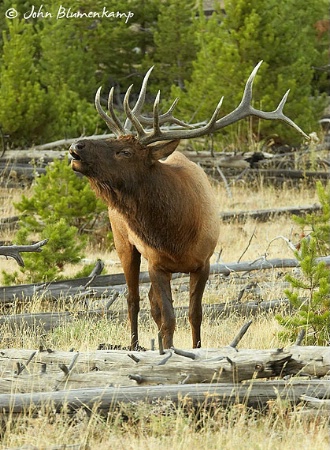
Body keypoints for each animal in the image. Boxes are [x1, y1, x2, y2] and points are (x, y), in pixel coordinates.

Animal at [69, 60, 306, 348]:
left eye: (124, 151)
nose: (77, 145)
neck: (176, 234)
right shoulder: (157, 264)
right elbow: (169, 318)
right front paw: (170, 352)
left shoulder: (204, 262)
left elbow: (194, 314)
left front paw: (192, 349)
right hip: (123, 242)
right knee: (133, 299)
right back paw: (135, 345)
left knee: (150, 303)